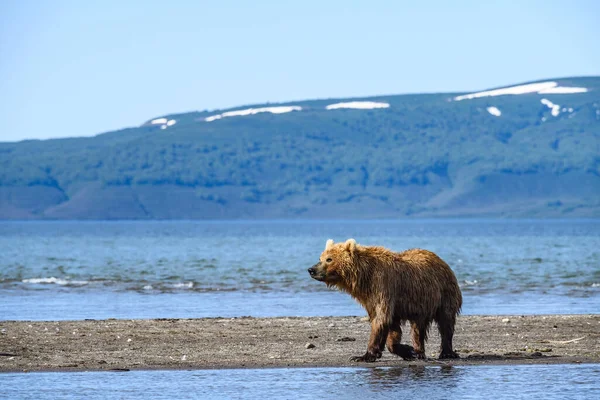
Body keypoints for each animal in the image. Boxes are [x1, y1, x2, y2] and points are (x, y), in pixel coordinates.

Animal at [308, 239, 462, 360]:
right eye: (320, 258)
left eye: (329, 259)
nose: (311, 269)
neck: (365, 277)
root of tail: (441, 260)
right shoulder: (371, 298)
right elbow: (390, 325)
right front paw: (407, 351)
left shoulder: (383, 287)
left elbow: (381, 319)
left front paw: (363, 355)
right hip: (421, 304)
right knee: (418, 327)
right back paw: (419, 352)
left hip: (444, 293)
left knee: (446, 322)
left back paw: (447, 352)